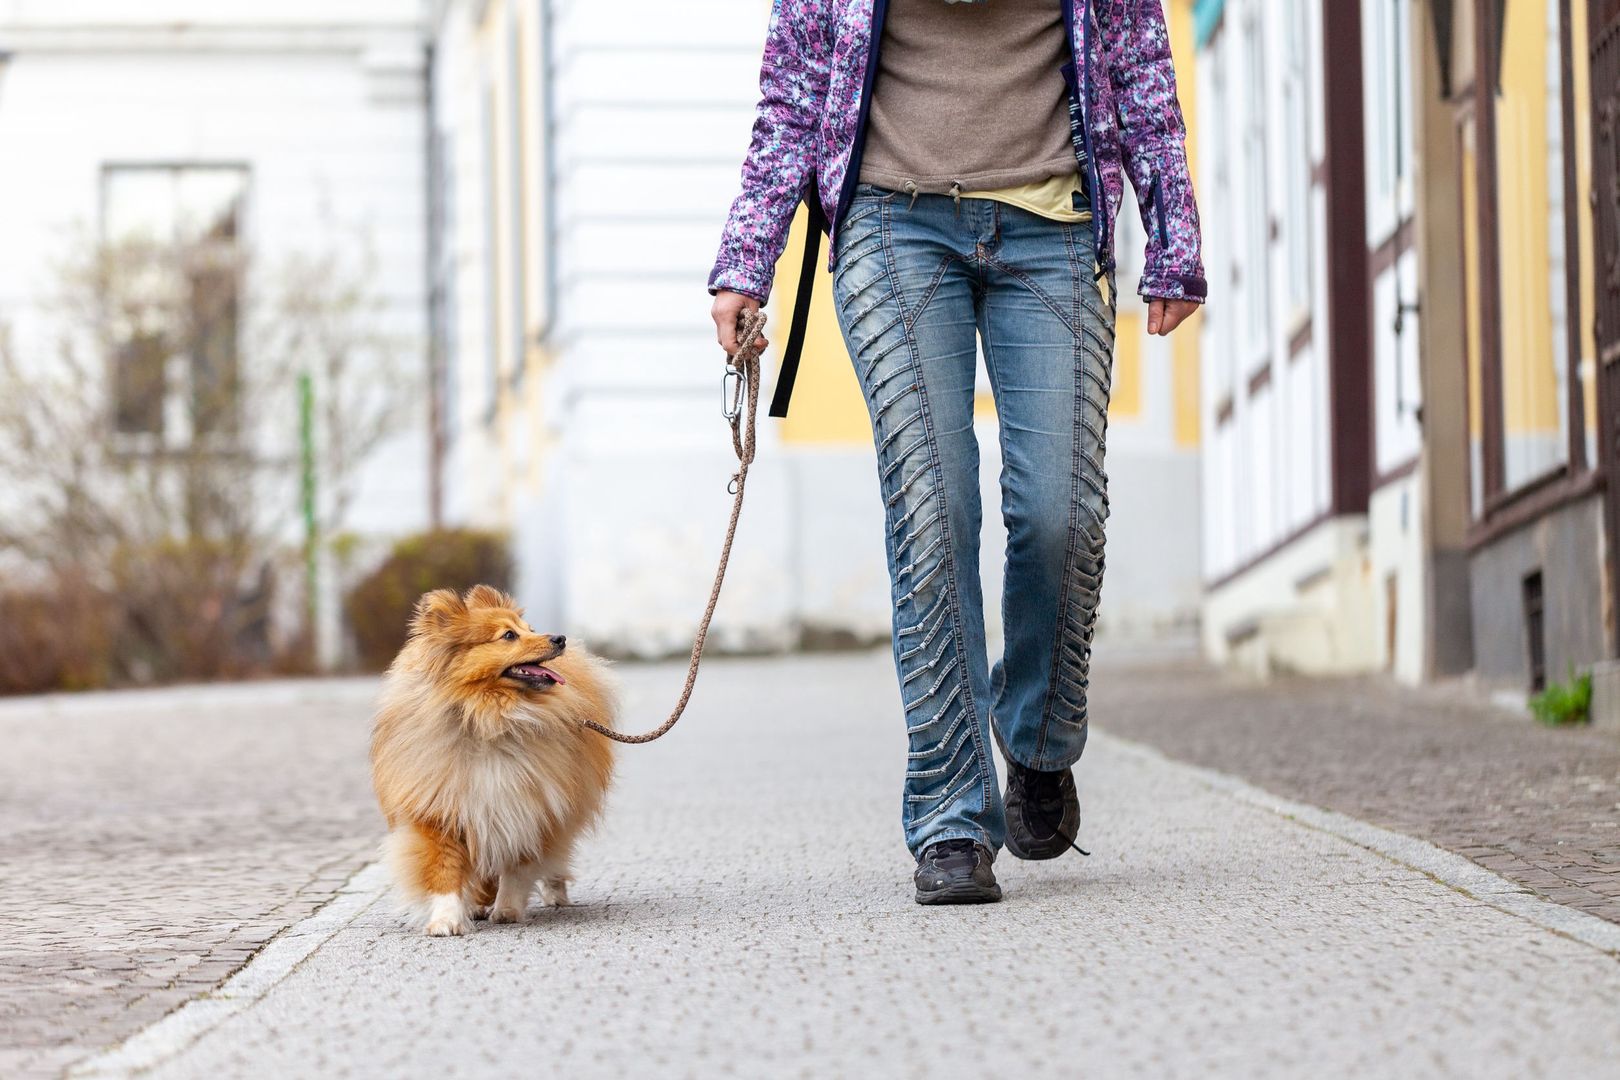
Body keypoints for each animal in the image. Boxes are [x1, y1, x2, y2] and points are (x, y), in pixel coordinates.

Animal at [370, 586, 615, 932]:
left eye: (530, 629)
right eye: (509, 635)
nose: (559, 638)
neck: (488, 719)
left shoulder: (528, 809)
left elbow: (517, 867)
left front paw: (507, 909)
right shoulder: (441, 811)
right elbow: (444, 870)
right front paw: (446, 919)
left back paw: (551, 894)